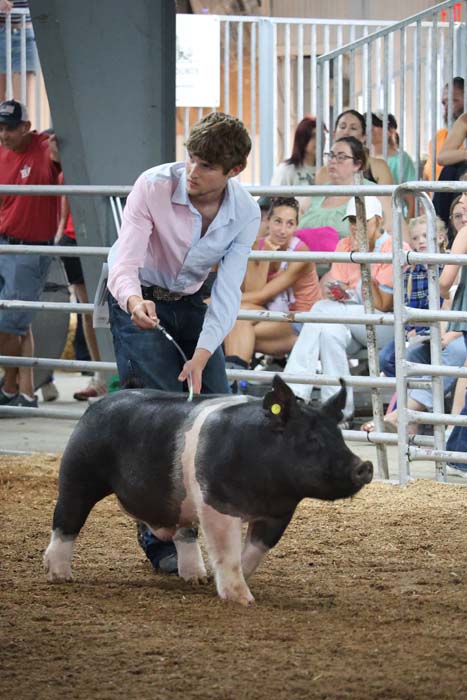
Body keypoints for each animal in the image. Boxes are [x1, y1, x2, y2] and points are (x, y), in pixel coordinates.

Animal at [43, 375, 372, 605]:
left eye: (339, 435)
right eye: (311, 438)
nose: (365, 465)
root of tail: (103, 401)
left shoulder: (280, 513)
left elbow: (253, 552)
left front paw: (223, 582)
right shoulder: (217, 503)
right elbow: (227, 551)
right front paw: (243, 600)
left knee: (184, 533)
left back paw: (196, 578)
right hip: (79, 473)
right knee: (65, 520)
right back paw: (59, 576)